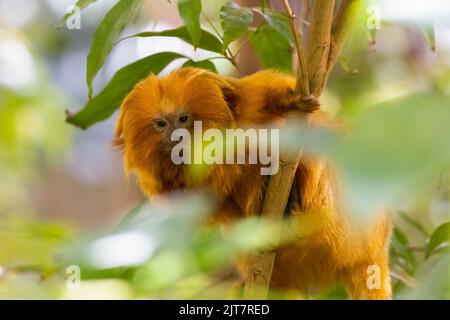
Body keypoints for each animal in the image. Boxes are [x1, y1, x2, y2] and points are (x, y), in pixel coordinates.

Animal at [114, 67, 392, 300]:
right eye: (161, 124)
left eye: (183, 118)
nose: (175, 137)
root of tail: (373, 248)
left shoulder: (250, 104)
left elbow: (276, 99)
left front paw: (295, 102)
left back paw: (292, 204)